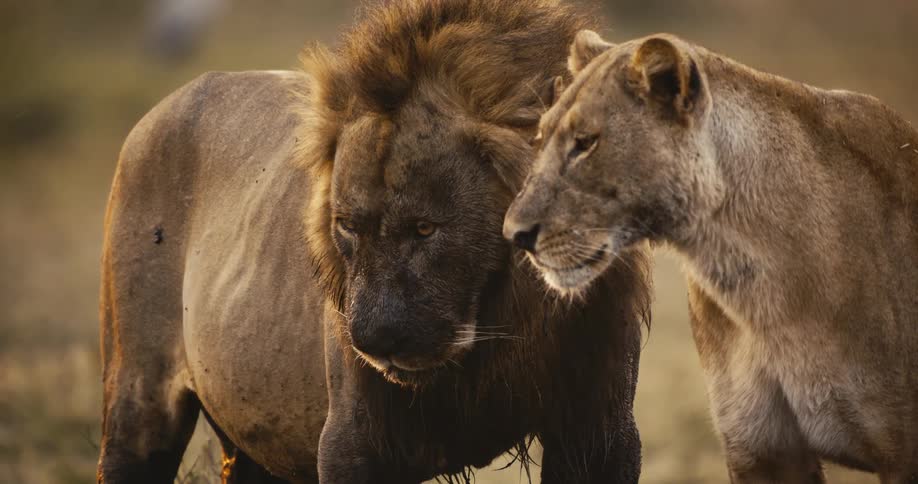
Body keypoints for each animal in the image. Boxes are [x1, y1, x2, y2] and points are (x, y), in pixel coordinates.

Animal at [96, 2, 652, 483]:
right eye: (346, 225)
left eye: (425, 228)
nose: (372, 340)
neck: (503, 318)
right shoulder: (352, 440)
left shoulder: (600, 432)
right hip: (138, 398)